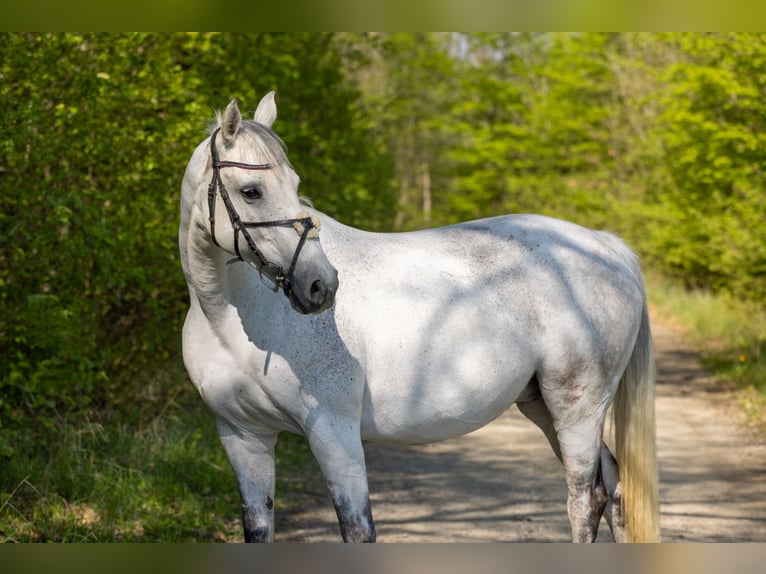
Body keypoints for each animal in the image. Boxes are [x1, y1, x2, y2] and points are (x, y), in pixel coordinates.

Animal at [179, 92, 660, 543]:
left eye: (294, 184)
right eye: (251, 191)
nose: (320, 286)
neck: (234, 321)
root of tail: (605, 245)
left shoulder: (333, 432)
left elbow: (358, 529)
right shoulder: (244, 436)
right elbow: (258, 529)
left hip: (578, 408)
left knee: (585, 499)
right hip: (546, 408)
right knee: (614, 490)